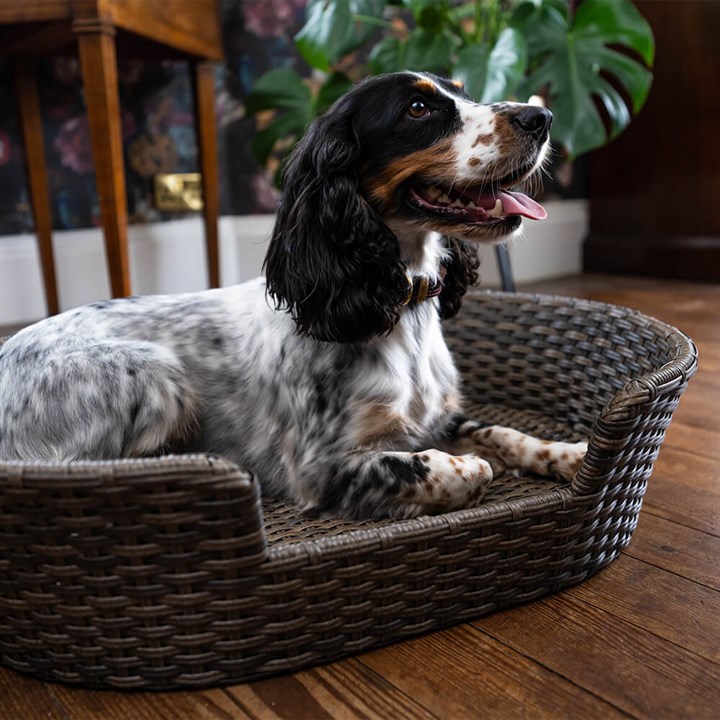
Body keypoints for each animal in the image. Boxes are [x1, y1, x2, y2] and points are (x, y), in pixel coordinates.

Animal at [0, 73, 584, 520]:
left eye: (463, 92)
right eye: (418, 108)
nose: (542, 117)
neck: (396, 305)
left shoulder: (437, 419)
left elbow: (500, 431)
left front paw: (572, 452)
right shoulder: (321, 468)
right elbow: (460, 467)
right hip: (154, 374)